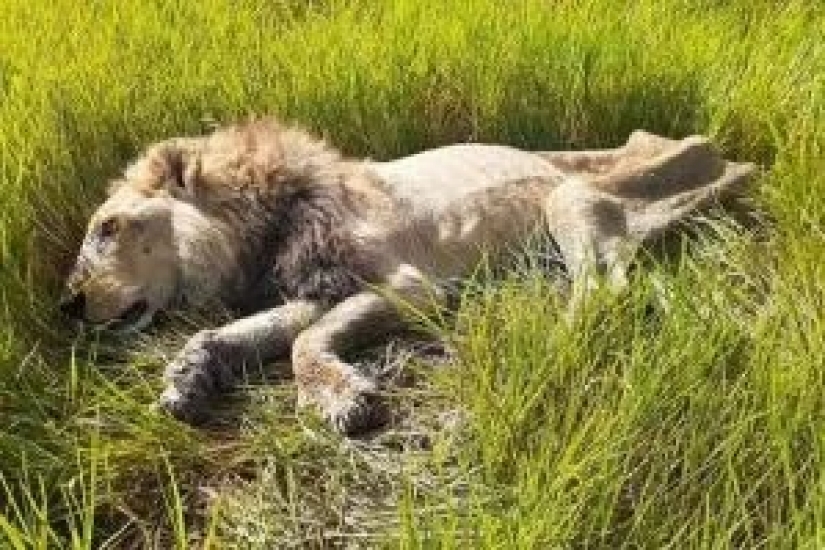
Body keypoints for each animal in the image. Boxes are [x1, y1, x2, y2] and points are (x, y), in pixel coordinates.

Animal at [60, 118, 754, 434]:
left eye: (109, 227)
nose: (67, 306)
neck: (260, 225)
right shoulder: (318, 287)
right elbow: (243, 335)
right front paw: (187, 379)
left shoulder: (411, 286)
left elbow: (303, 344)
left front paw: (342, 399)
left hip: (570, 198)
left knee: (606, 288)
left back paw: (554, 343)